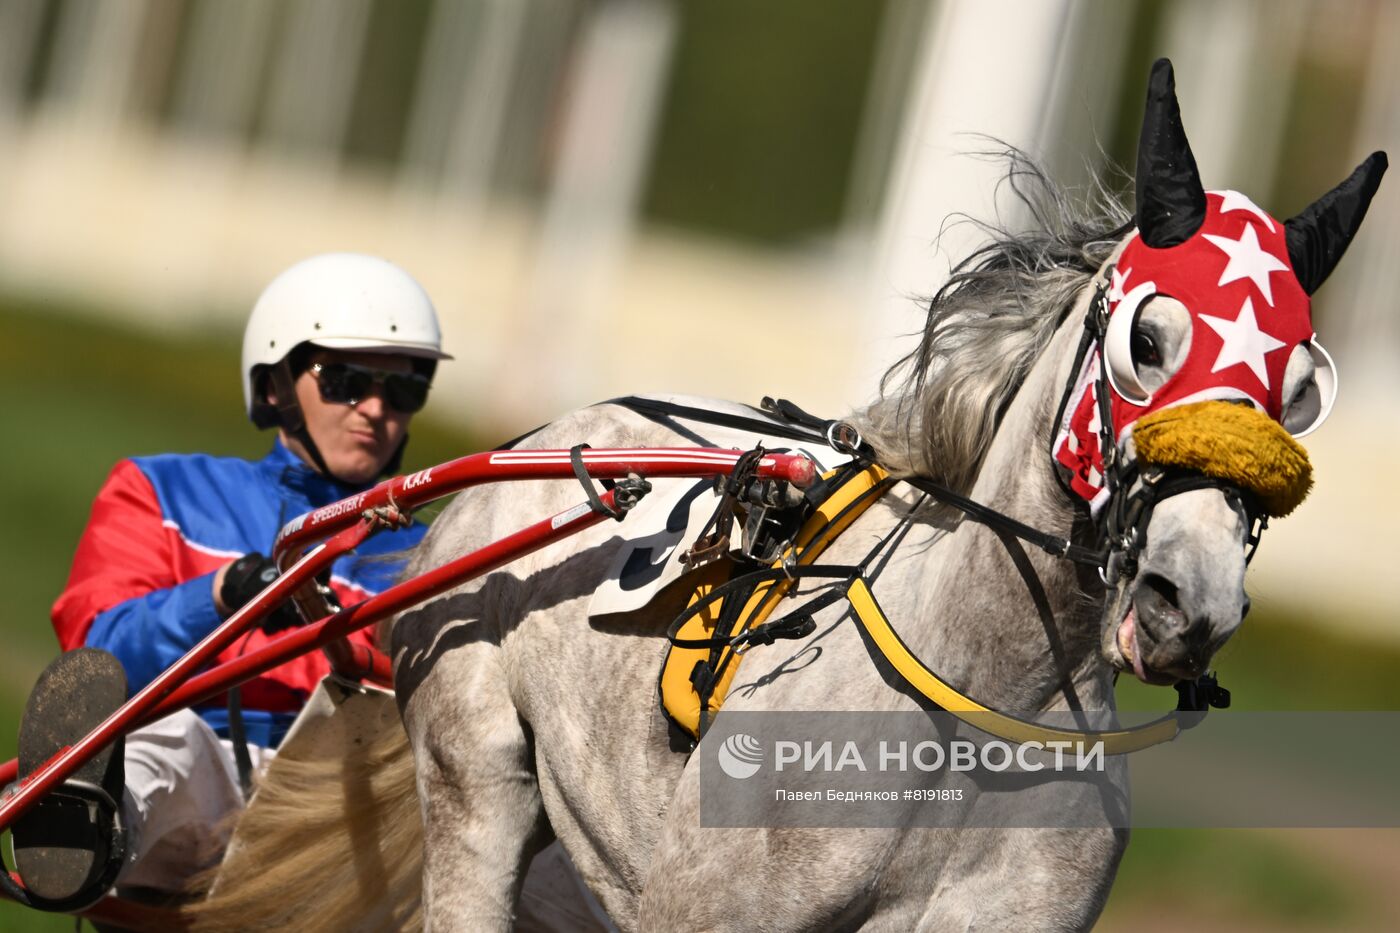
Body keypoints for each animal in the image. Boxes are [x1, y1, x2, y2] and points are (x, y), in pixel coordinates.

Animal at [183, 59, 1377, 930]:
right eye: (1146, 338)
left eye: (1301, 388)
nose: (1191, 602)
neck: (980, 695)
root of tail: (532, 446)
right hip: (477, 786)